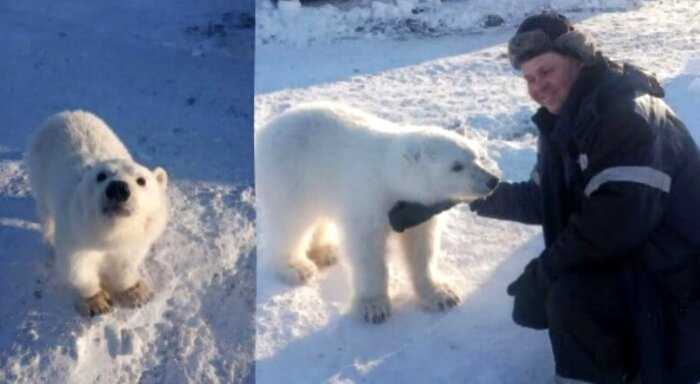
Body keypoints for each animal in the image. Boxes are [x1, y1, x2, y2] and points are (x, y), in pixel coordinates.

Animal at [27, 109, 171, 316]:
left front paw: (136, 292)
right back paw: (49, 239)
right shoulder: (76, 234)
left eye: (142, 180)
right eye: (101, 176)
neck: (109, 234)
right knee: (45, 211)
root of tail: (63, 114)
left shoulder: (134, 240)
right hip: (40, 170)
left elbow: (125, 264)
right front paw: (96, 302)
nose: (118, 188)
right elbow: (78, 268)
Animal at [254, 103, 500, 324]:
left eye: (477, 157)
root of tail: (264, 133)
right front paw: (373, 307)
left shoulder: (417, 209)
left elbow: (422, 247)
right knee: (290, 223)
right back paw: (296, 267)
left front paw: (442, 295)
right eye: (456, 166)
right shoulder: (369, 199)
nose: (492, 180)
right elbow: (367, 251)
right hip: (290, 176)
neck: (390, 175)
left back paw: (327, 252)